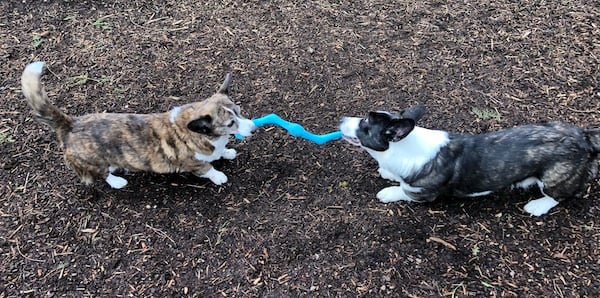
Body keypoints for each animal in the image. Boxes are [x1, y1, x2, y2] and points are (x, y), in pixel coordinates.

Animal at [20, 61, 255, 189]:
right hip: (95, 162)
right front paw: (219, 176)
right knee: (102, 174)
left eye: (239, 111)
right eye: (231, 123)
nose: (253, 127)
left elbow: (221, 152)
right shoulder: (195, 164)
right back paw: (117, 181)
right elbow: (208, 168)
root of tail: (70, 124)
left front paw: (227, 152)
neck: (204, 135)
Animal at [342, 105, 600, 217]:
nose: (342, 118)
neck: (402, 146)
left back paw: (537, 206)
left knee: (559, 196)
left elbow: (403, 191)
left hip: (553, 178)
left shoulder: (421, 192)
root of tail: (584, 136)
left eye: (365, 124)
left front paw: (387, 192)